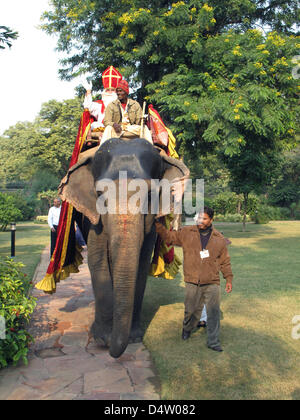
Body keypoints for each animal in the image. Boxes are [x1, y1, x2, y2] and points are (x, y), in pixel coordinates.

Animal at [59, 139, 189, 358]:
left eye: (150, 194)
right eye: (99, 194)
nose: (113, 349)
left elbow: (141, 265)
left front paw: (133, 337)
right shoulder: (92, 220)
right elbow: (98, 262)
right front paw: (102, 339)